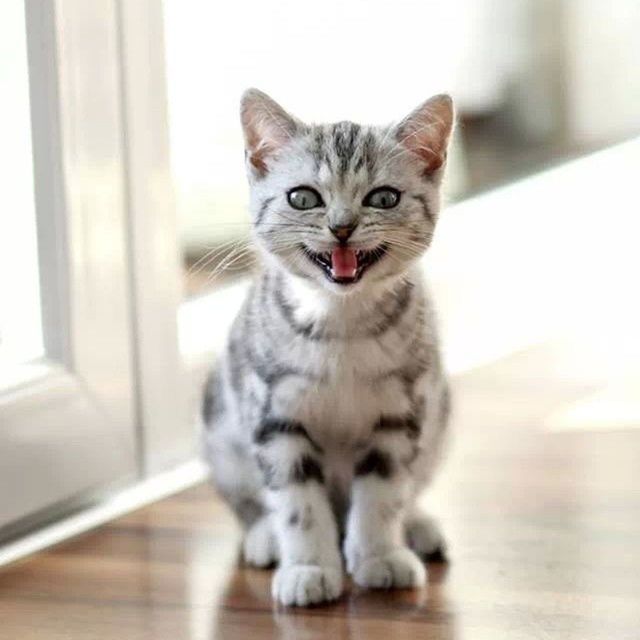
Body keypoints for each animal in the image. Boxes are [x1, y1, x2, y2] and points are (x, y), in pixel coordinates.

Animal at [202, 89, 452, 604]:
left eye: (383, 197)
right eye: (303, 198)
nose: (341, 227)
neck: (341, 324)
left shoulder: (400, 414)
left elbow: (382, 493)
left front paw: (379, 555)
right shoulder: (274, 416)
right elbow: (297, 502)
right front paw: (308, 567)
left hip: (439, 417)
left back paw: (416, 526)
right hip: (220, 424)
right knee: (248, 502)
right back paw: (264, 536)